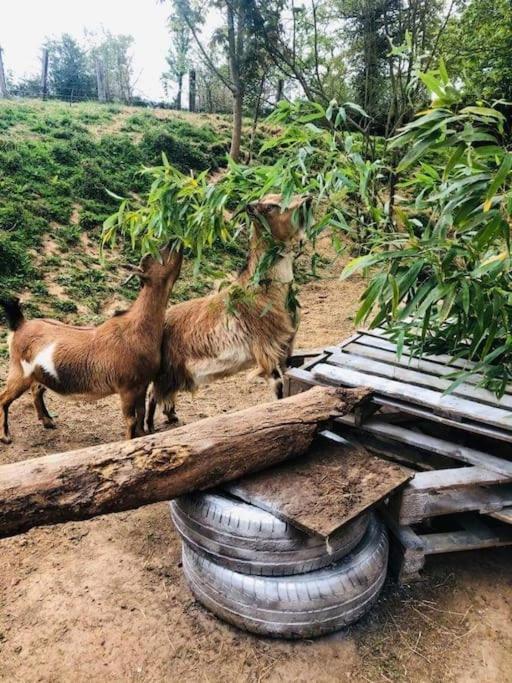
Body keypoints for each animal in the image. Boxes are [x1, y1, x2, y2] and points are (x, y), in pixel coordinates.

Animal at [0, 246, 183, 444]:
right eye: (157, 257)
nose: (176, 244)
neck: (136, 329)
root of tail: (21, 324)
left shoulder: (142, 384)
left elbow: (141, 414)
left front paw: (142, 437)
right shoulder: (126, 388)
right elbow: (131, 419)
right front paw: (129, 441)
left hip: (39, 373)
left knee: (36, 390)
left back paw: (48, 421)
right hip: (19, 372)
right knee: (4, 398)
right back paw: (5, 435)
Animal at [146, 192, 310, 430]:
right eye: (271, 206)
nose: (308, 198)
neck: (265, 294)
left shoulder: (284, 349)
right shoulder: (265, 350)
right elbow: (279, 387)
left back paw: (172, 416)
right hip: (167, 368)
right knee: (153, 394)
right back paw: (148, 427)